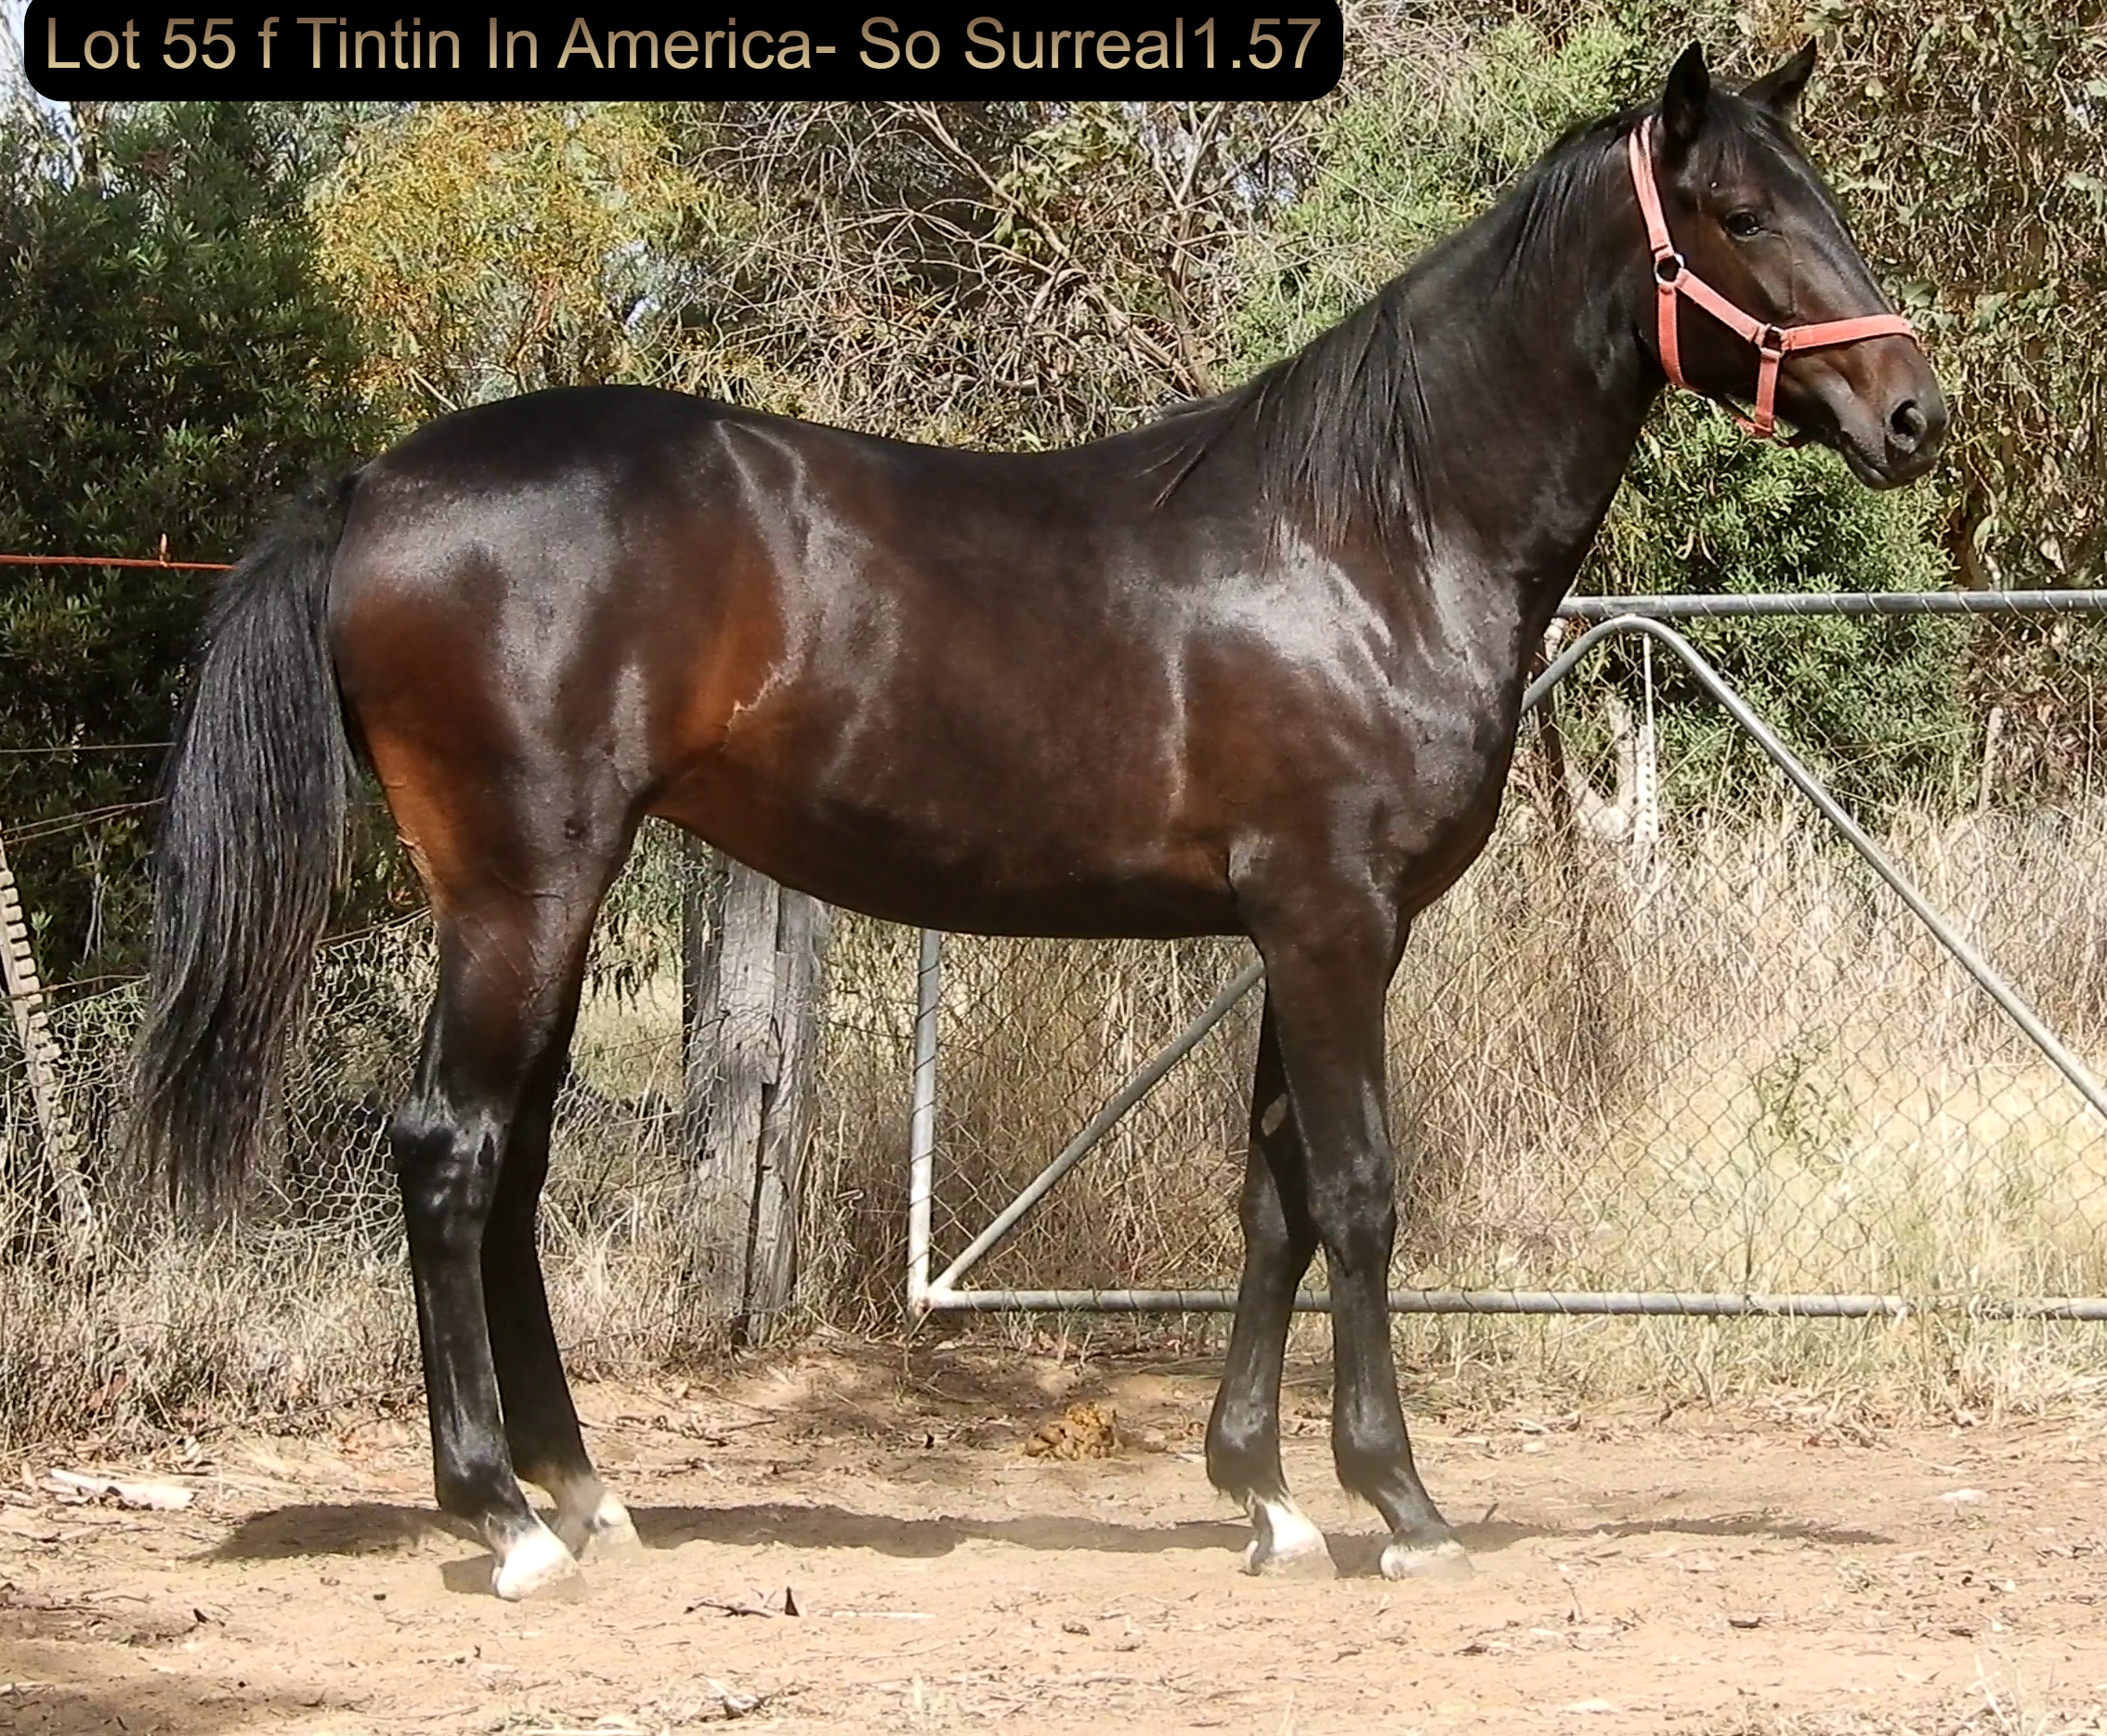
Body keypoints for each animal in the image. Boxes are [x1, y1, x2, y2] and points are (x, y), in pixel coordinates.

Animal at [137, 42, 1946, 1598]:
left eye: (1817, 192)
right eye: (1736, 213)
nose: (1913, 414)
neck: (1374, 536)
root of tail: (376, 484)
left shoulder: (1297, 933)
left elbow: (1277, 1199)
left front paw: (1263, 1493)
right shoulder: (1335, 921)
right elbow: (1360, 1193)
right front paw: (1400, 1500)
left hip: (548, 902)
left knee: (505, 1167)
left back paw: (581, 1492)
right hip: (519, 890)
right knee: (448, 1150)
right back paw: (501, 1518)